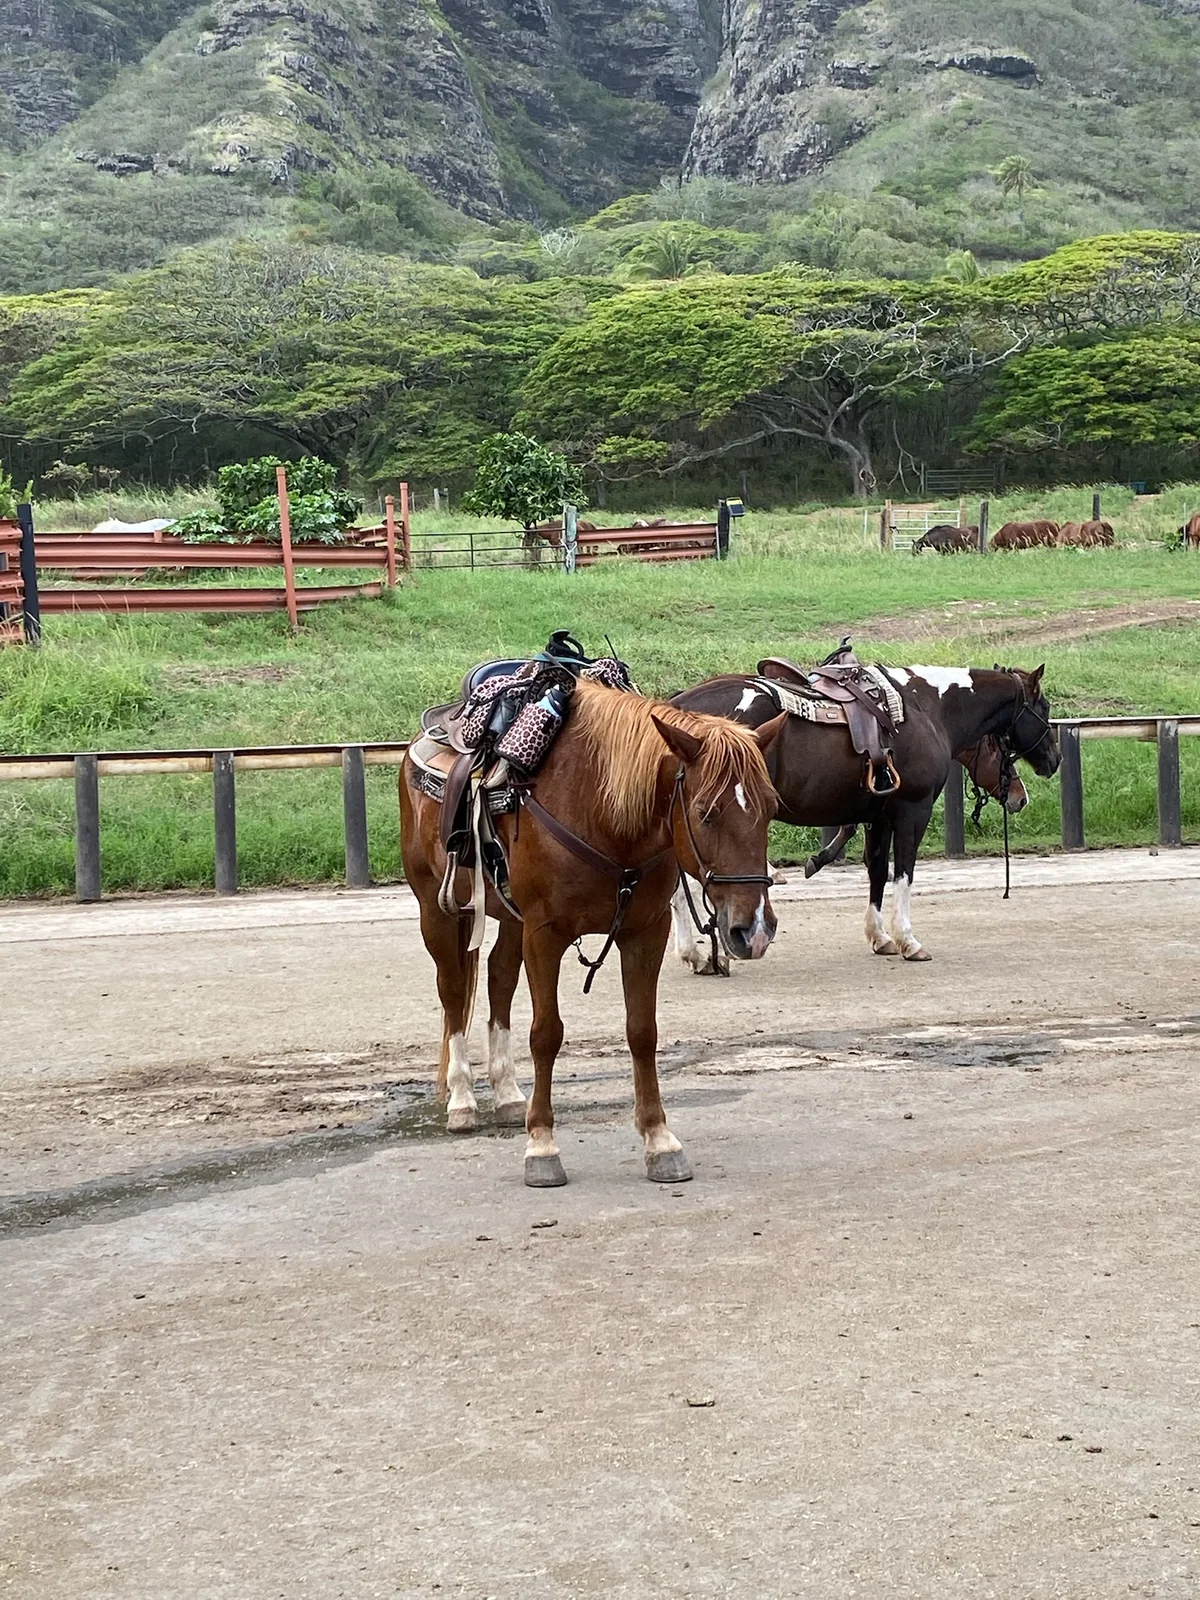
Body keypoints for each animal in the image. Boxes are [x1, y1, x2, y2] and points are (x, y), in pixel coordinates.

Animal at [400, 678, 785, 1187]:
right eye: (705, 812)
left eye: (771, 808)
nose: (754, 928)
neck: (602, 814)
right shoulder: (544, 934)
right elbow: (546, 1033)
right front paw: (542, 1145)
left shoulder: (645, 932)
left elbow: (642, 1030)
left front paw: (659, 1139)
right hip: (437, 911)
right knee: (452, 993)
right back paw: (462, 1098)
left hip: (509, 920)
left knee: (499, 980)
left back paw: (506, 1093)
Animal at [669, 664, 1059, 967]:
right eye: (1044, 707)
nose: (1054, 761)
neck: (927, 707)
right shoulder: (912, 811)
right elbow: (903, 872)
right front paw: (907, 940)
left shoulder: (878, 816)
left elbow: (877, 871)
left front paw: (879, 936)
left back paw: (695, 954)